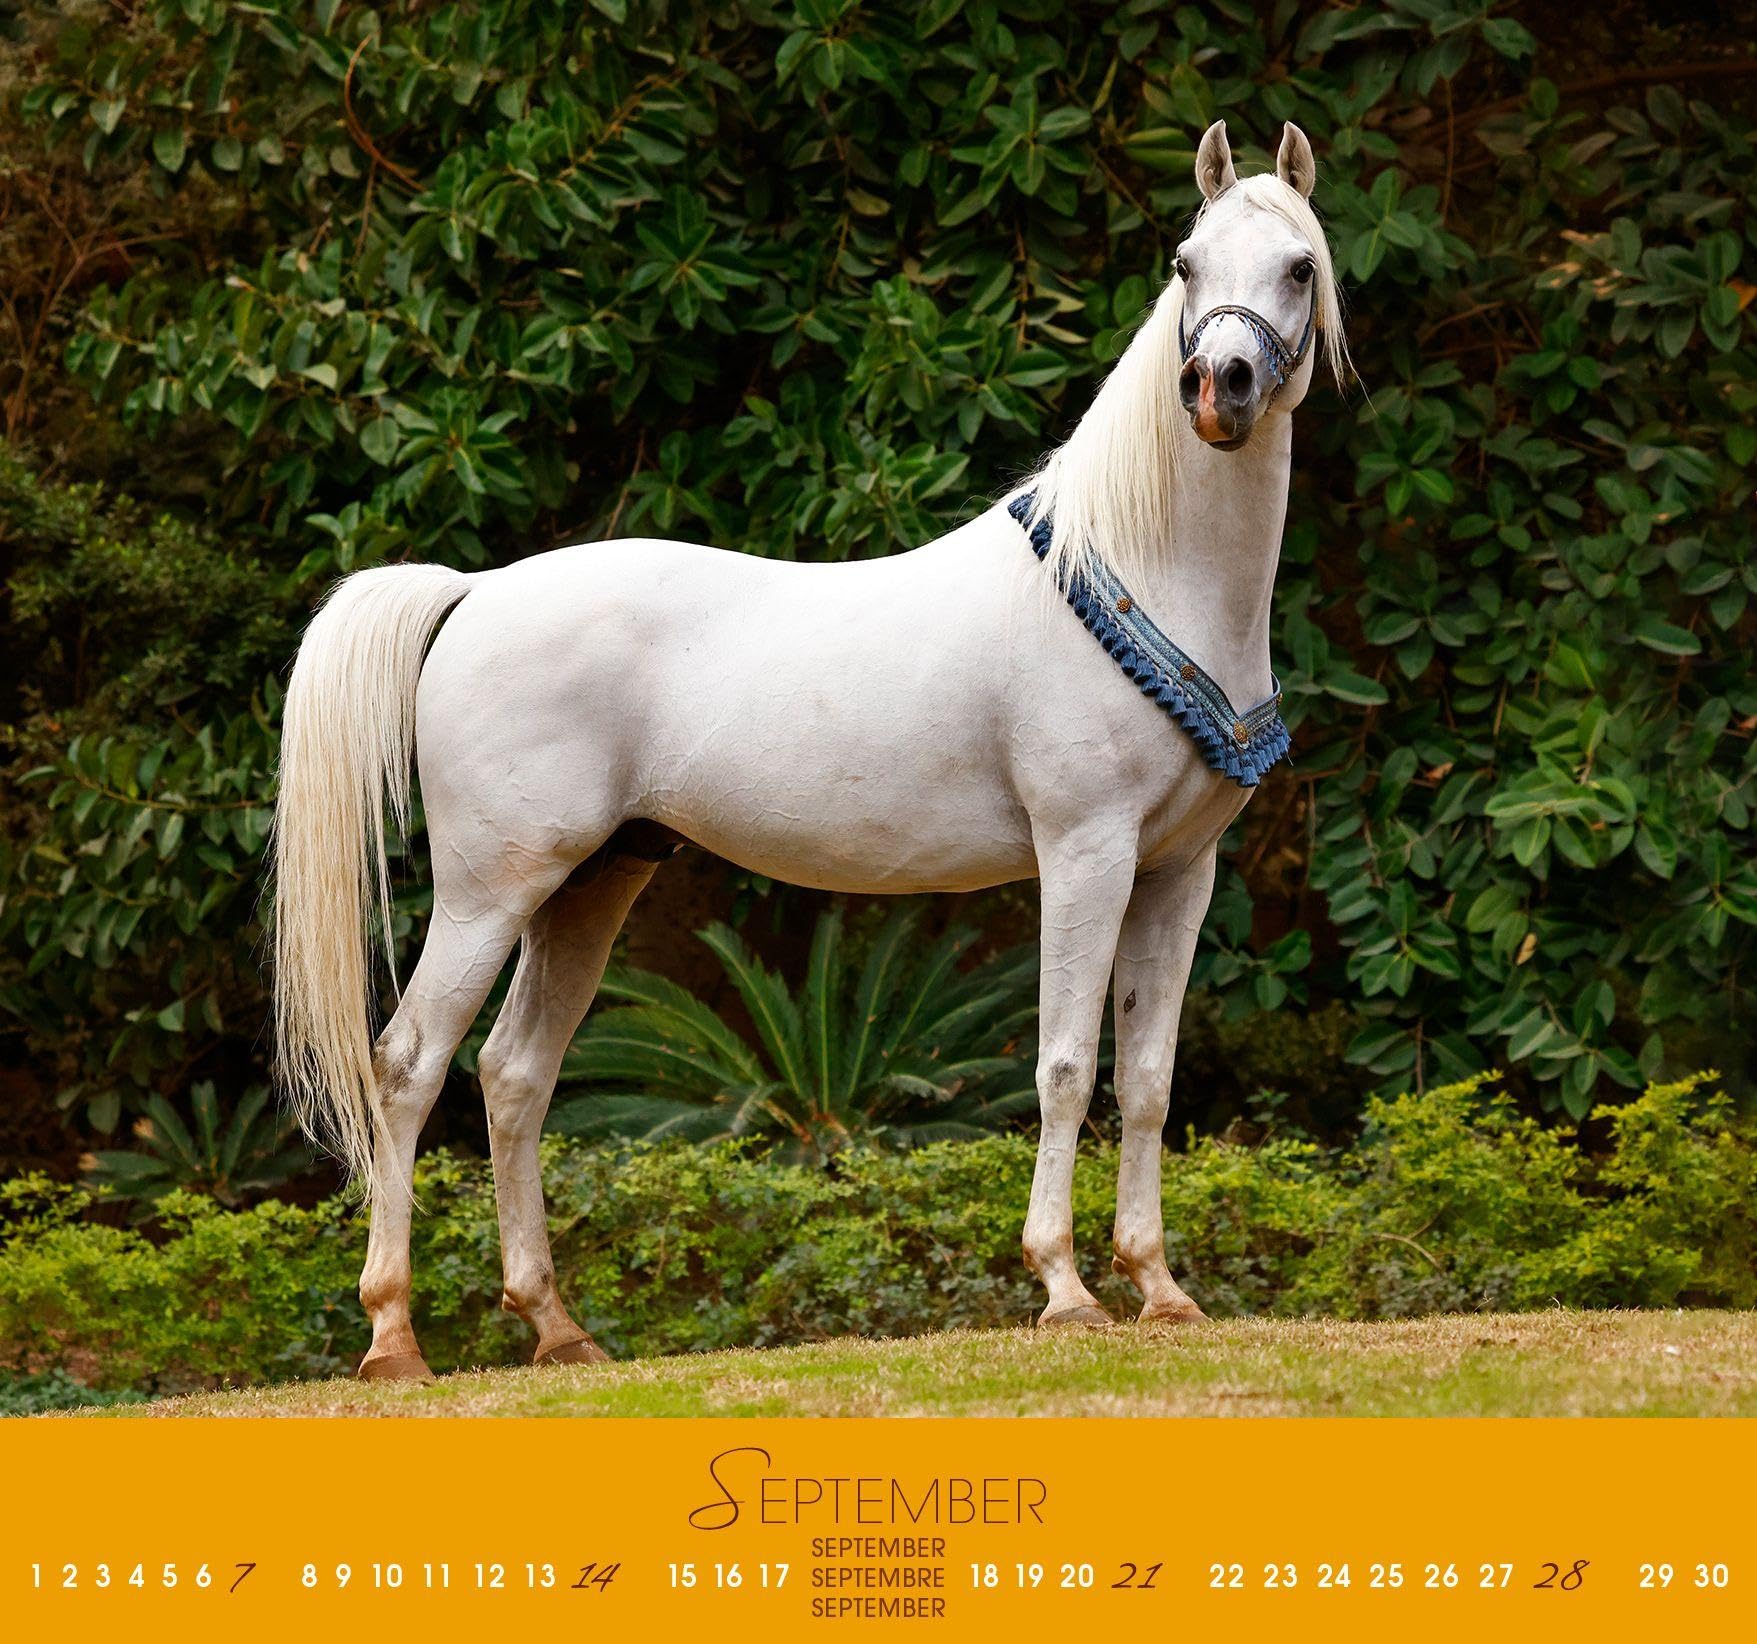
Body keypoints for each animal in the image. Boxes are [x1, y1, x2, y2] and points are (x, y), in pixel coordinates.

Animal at [271, 119, 1348, 1380]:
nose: (1217, 388)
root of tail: (476, 591)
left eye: (1298, 267)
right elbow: (1062, 1067)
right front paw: (1063, 1290)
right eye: (1185, 264)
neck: (1137, 566)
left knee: (514, 1074)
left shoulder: (1178, 873)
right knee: (407, 1064)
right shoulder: (1084, 853)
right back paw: (393, 1335)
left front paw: (1160, 1289)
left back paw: (555, 1326)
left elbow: (1143, 1081)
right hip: (493, 888)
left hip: (591, 884)